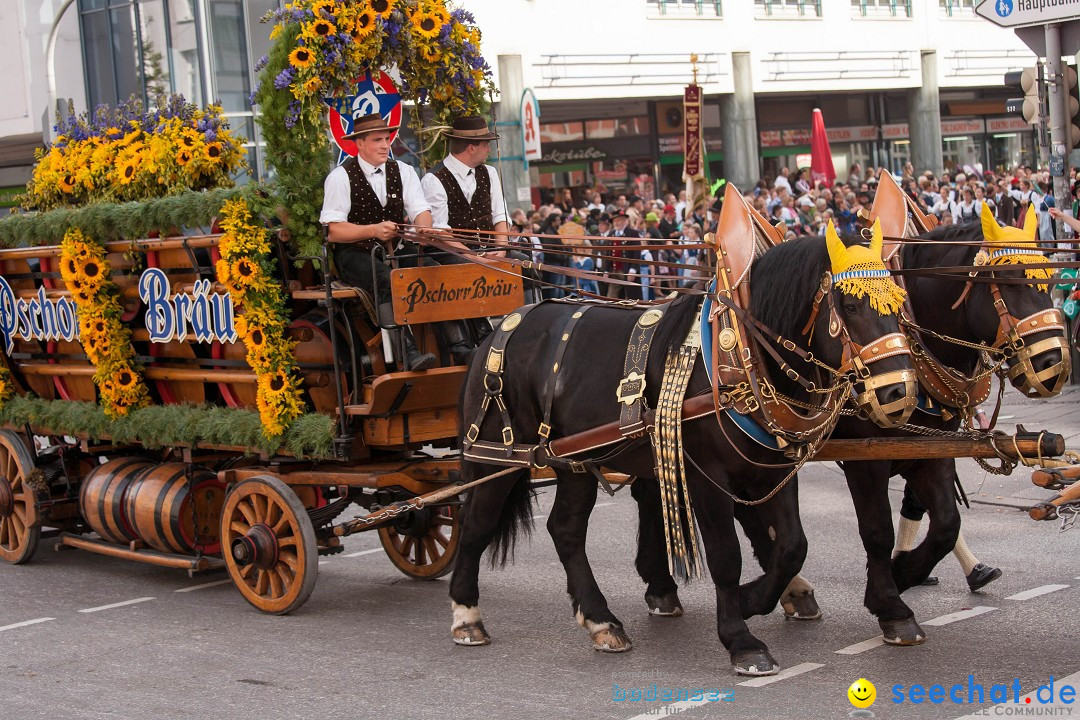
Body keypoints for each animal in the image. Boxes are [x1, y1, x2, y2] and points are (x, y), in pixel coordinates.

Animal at [451, 234, 915, 677]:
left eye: (898, 304)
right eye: (851, 305)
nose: (899, 392)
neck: (739, 358)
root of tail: (498, 329)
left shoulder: (774, 470)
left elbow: (792, 546)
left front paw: (754, 599)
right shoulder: (707, 477)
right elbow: (726, 556)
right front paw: (741, 639)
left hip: (576, 460)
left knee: (564, 529)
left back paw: (601, 620)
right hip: (496, 455)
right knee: (476, 525)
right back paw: (466, 615)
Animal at [630, 211, 1067, 643]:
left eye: (1048, 281)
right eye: (1008, 283)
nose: (1054, 365)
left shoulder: (932, 450)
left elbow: (946, 521)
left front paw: (906, 573)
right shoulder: (865, 458)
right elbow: (877, 529)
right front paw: (891, 603)